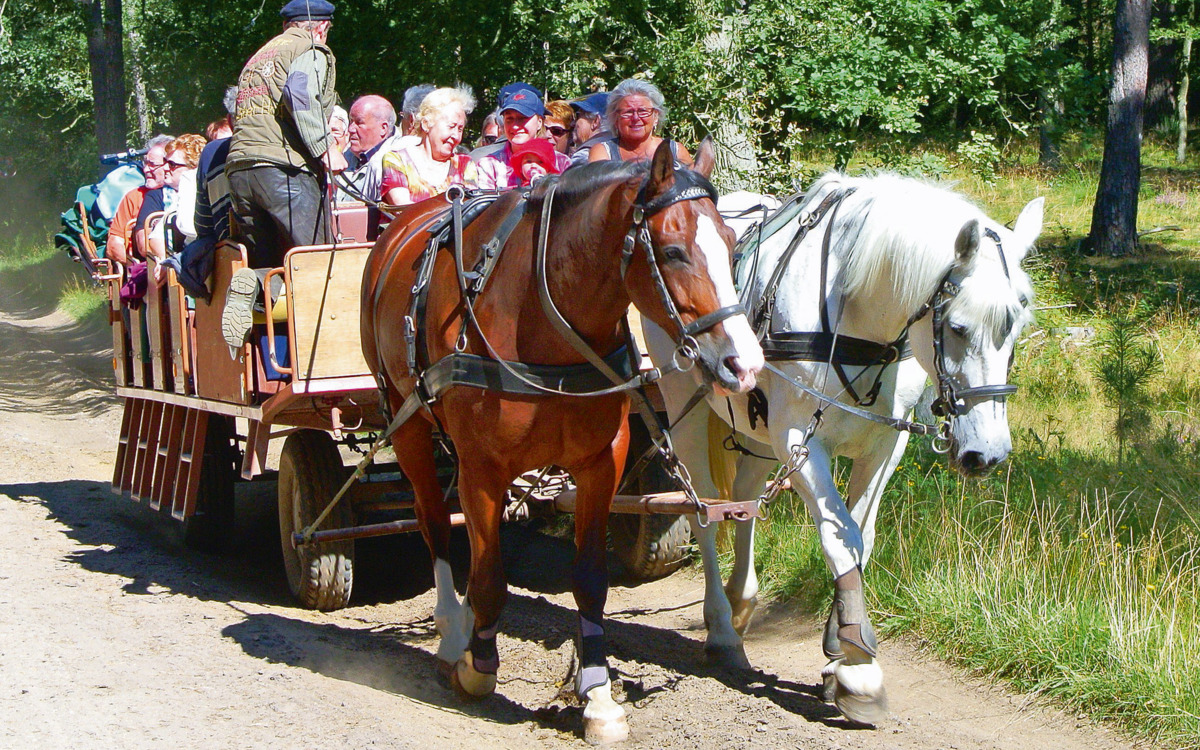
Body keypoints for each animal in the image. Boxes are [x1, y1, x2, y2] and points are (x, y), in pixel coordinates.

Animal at [360, 140, 763, 744]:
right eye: (672, 251)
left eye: (732, 242)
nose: (745, 363)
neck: (540, 321)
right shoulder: (482, 468)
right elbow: (488, 578)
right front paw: (478, 668)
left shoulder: (602, 463)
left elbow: (590, 582)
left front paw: (597, 695)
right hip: (405, 420)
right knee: (432, 521)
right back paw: (453, 633)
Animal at [648, 172, 1041, 724]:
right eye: (958, 327)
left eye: (1016, 330)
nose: (988, 453)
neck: (858, 315)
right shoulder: (799, 442)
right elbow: (840, 539)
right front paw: (859, 670)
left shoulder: (885, 445)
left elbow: (861, 536)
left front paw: (840, 648)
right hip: (685, 403)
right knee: (704, 509)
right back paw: (723, 629)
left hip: (756, 431)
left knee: (744, 500)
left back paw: (742, 600)